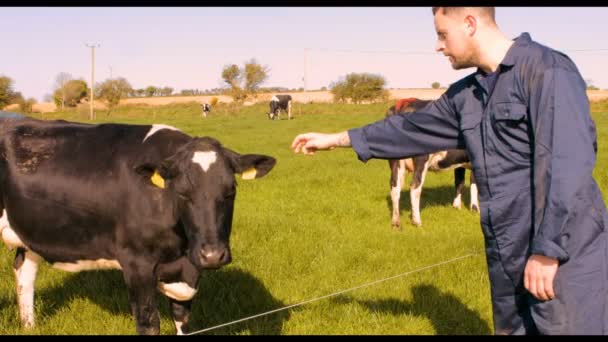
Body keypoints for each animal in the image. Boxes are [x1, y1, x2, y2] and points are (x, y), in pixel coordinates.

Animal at [0, 117, 276, 334]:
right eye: (182, 193)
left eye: (231, 191)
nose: (212, 255)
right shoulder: (136, 263)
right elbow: (148, 323)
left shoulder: (186, 273)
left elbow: (182, 320)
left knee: (24, 273)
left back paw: (29, 327)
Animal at [384, 97, 480, 228]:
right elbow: (475, 184)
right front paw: (476, 210)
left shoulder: (459, 161)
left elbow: (459, 182)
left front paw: (456, 206)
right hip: (421, 160)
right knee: (415, 187)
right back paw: (417, 222)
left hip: (395, 161)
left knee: (395, 187)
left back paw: (396, 222)